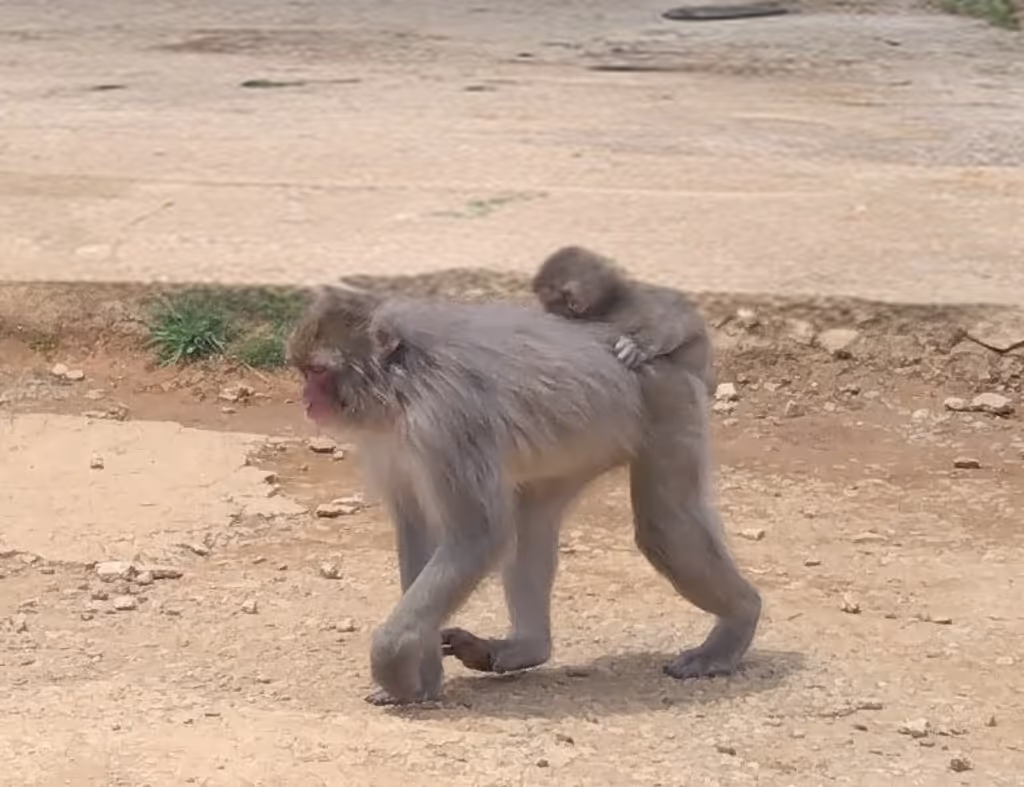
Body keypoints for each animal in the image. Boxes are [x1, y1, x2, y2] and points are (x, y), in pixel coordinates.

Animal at [286, 286, 761, 705]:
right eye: (303, 371)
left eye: (318, 372)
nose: (306, 401)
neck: (400, 385)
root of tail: (659, 351)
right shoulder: (388, 440)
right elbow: (416, 526)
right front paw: (423, 673)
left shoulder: (447, 422)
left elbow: (478, 536)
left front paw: (393, 662)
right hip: (584, 446)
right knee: (532, 517)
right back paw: (528, 647)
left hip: (666, 405)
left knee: (665, 525)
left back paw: (740, 620)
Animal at [531, 245, 716, 393]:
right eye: (553, 298)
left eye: (566, 294)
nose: (571, 297)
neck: (612, 305)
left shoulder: (646, 301)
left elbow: (668, 327)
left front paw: (636, 346)